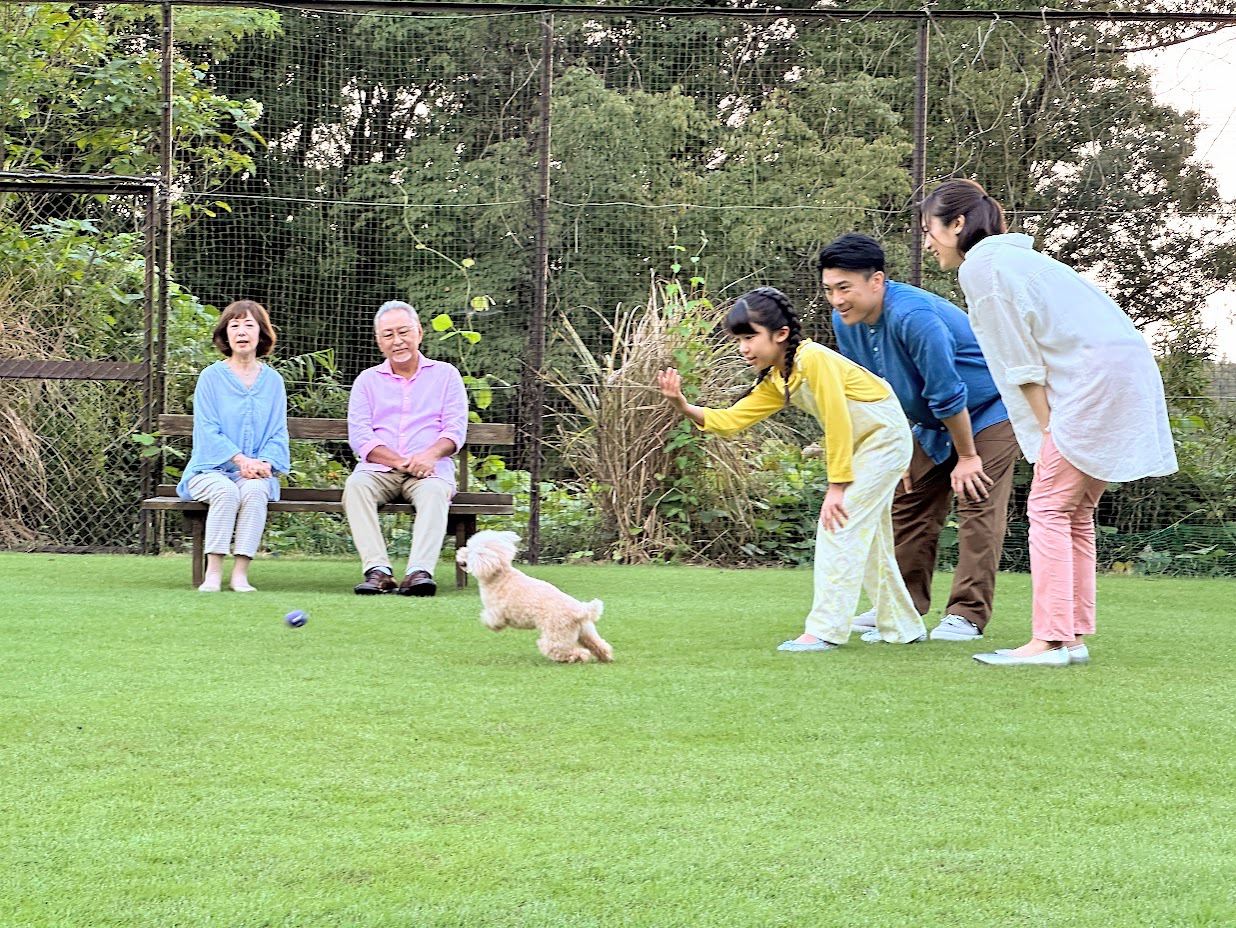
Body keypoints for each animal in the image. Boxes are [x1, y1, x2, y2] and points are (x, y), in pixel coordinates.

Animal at [454, 528, 613, 667]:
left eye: (470, 551)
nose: (459, 552)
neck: (499, 574)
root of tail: (581, 610)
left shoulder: (497, 612)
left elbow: (492, 621)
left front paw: (489, 624)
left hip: (556, 635)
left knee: (569, 651)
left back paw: (577, 658)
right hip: (585, 631)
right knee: (599, 644)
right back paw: (606, 657)